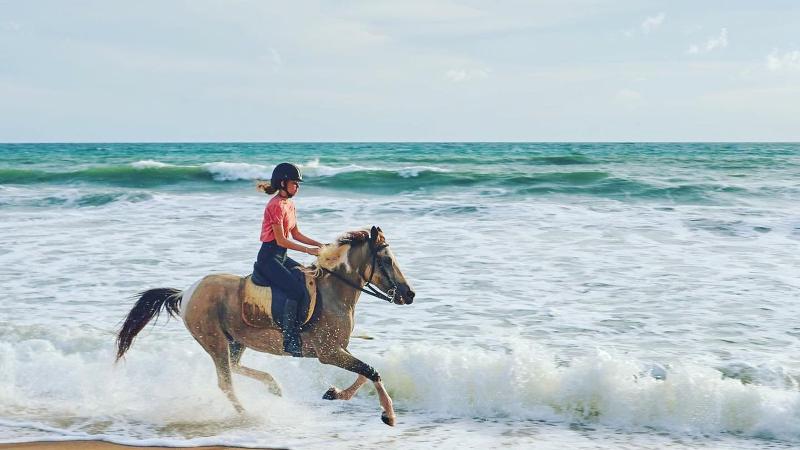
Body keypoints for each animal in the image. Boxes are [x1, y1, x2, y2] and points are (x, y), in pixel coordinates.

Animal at [115, 226, 415, 426]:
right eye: (387, 260)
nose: (409, 294)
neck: (333, 293)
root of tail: (186, 292)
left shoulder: (339, 349)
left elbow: (365, 372)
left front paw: (334, 393)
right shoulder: (328, 352)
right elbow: (371, 370)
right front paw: (389, 414)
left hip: (236, 341)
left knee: (235, 367)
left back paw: (273, 387)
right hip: (214, 341)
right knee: (226, 381)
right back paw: (248, 414)